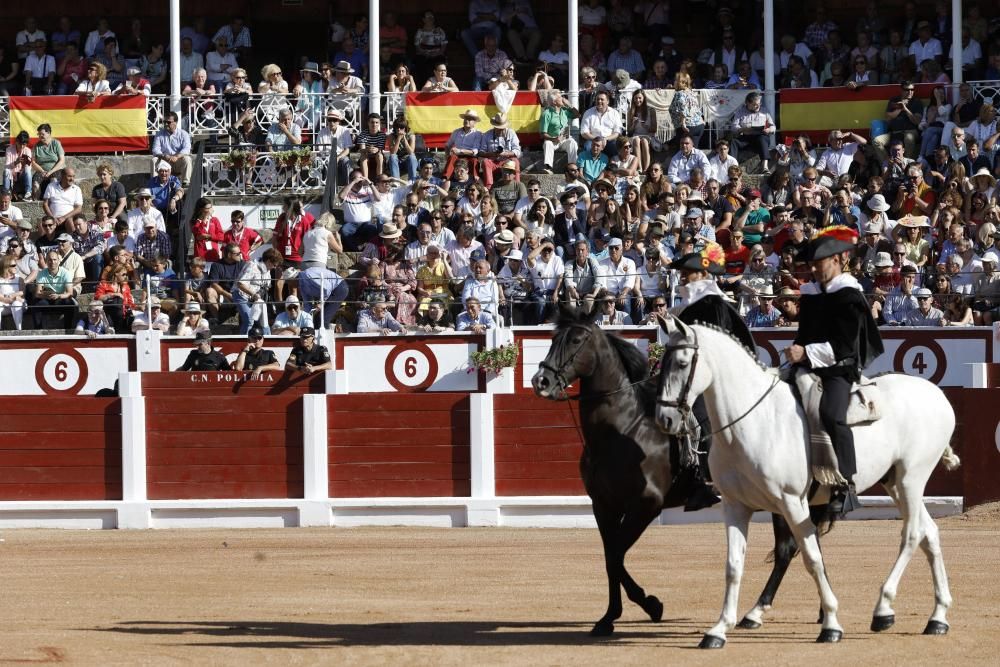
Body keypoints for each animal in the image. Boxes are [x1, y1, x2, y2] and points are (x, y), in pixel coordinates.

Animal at [532, 308, 812, 636]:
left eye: (576, 340)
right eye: (553, 339)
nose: (541, 380)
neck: (621, 431)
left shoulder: (647, 505)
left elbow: (616, 555)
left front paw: (651, 605)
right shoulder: (604, 506)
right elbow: (611, 556)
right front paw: (610, 616)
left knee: (786, 549)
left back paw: (758, 613)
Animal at [652, 318, 956, 648]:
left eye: (683, 363)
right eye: (662, 363)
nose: (665, 419)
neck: (754, 421)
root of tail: (936, 394)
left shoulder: (791, 503)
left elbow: (811, 558)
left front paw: (831, 624)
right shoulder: (735, 506)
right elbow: (734, 565)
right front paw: (719, 629)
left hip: (912, 477)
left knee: (911, 534)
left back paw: (883, 609)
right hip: (895, 484)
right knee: (930, 532)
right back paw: (938, 616)